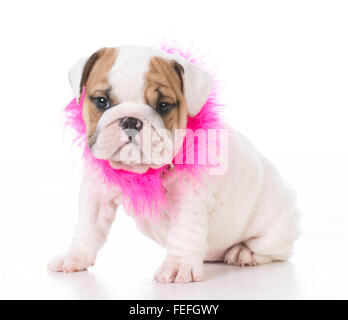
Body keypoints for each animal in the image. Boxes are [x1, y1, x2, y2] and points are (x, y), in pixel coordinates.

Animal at [47, 45, 300, 282]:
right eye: (102, 101)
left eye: (163, 106)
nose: (130, 120)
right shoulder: (96, 195)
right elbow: (88, 228)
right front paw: (74, 257)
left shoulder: (189, 201)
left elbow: (184, 233)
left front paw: (179, 266)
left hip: (275, 229)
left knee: (273, 250)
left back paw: (244, 252)